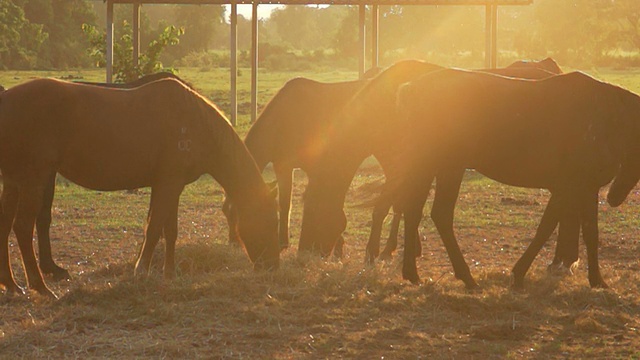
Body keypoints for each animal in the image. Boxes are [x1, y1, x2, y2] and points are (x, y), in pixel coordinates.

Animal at [0, 76, 280, 298]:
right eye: (268, 220)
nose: (272, 266)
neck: (193, 123)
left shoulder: (169, 185)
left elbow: (168, 230)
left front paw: (169, 274)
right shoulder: (169, 184)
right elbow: (155, 228)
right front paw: (141, 271)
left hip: (13, 181)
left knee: (5, 226)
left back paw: (12, 285)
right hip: (34, 179)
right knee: (23, 227)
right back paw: (40, 286)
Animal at [396, 69, 636, 290]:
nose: (614, 198)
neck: (609, 117)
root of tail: (411, 88)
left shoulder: (573, 189)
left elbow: (566, 229)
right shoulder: (576, 186)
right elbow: (560, 231)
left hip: (431, 168)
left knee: (414, 211)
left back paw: (413, 274)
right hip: (449, 167)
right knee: (440, 215)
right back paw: (467, 278)